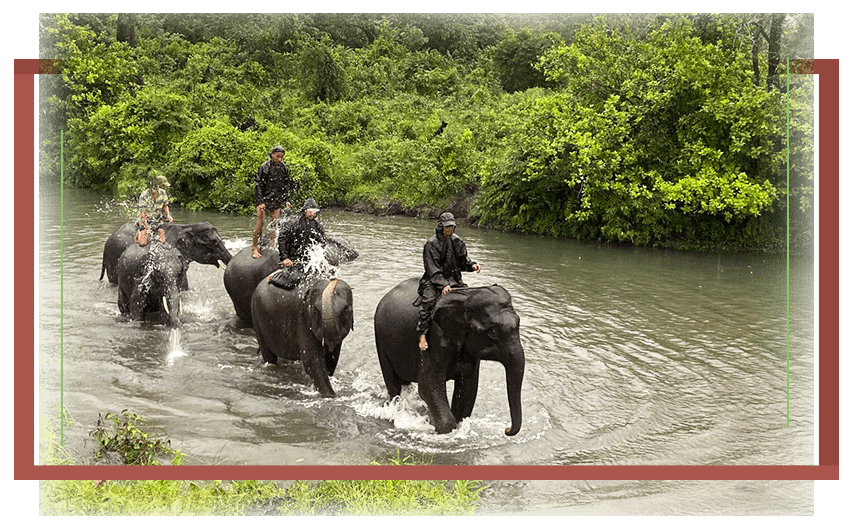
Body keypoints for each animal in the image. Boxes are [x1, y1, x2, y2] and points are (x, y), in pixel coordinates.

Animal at [374, 277, 525, 435]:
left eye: (519, 323)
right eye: (493, 331)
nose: (506, 429)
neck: (465, 297)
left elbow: (468, 389)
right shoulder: (433, 339)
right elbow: (428, 385)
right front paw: (442, 428)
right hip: (381, 340)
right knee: (392, 383)